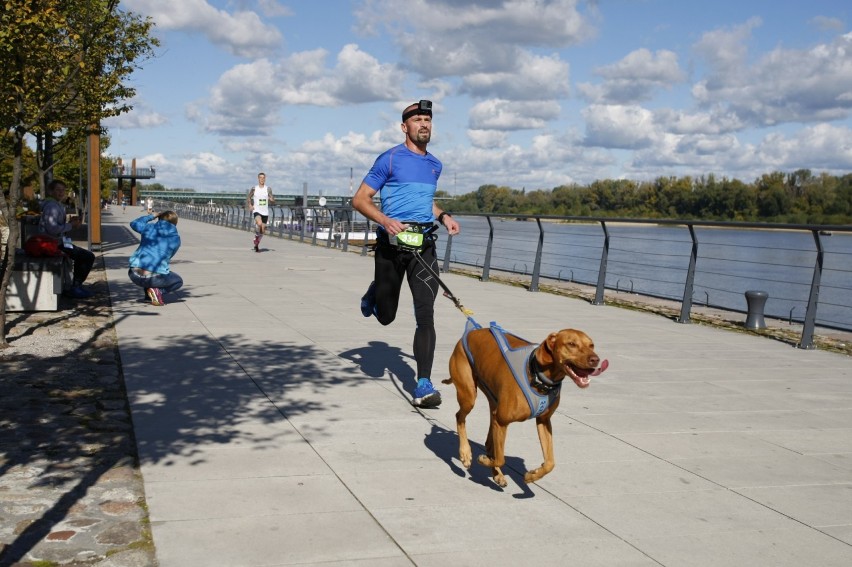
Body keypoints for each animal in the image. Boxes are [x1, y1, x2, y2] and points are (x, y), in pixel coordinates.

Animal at [442, 326, 604, 486]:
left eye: (591, 345)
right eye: (571, 344)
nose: (595, 359)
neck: (539, 378)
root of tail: (471, 332)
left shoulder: (543, 421)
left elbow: (550, 463)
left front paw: (532, 475)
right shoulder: (502, 421)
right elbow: (501, 458)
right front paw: (483, 460)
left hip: (493, 401)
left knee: (489, 442)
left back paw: (496, 472)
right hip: (469, 395)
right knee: (460, 417)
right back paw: (465, 453)